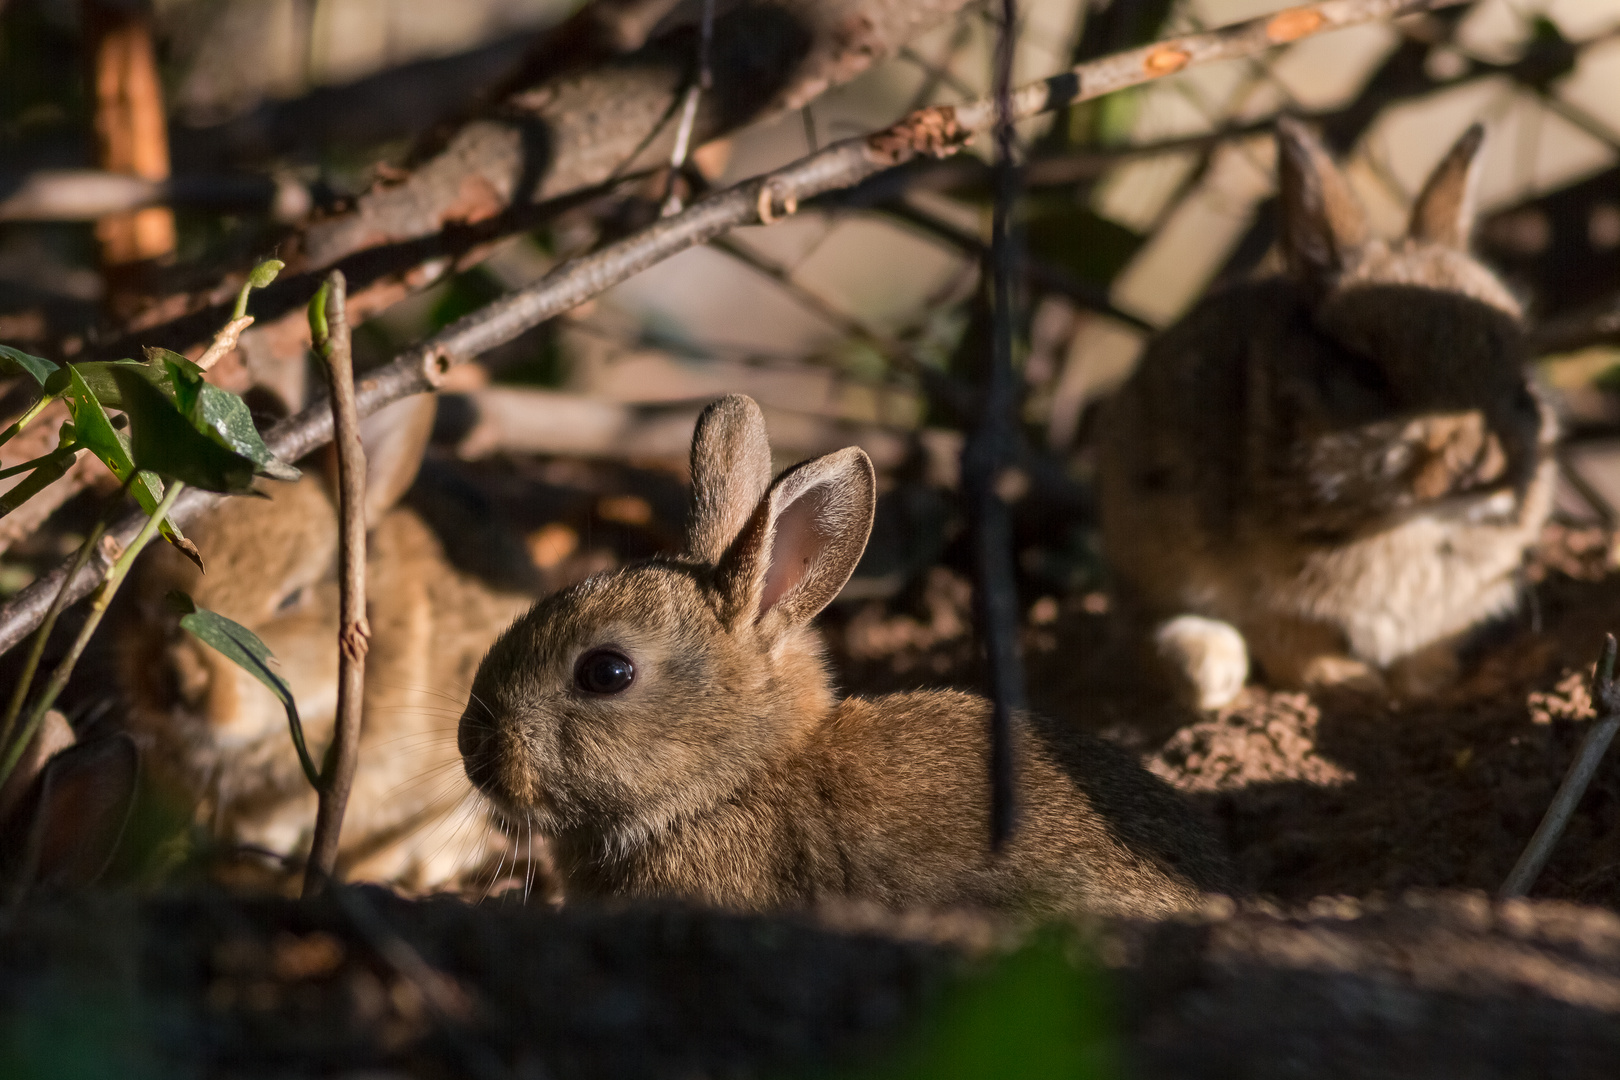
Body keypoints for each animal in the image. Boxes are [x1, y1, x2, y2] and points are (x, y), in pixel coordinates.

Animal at [1095, 120, 1561, 709]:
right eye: (1367, 372)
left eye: (1519, 377)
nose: (1478, 467)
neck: (1413, 519)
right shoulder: (1265, 595)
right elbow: (1293, 645)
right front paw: (1349, 683)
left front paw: (1423, 687)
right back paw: (1204, 667)